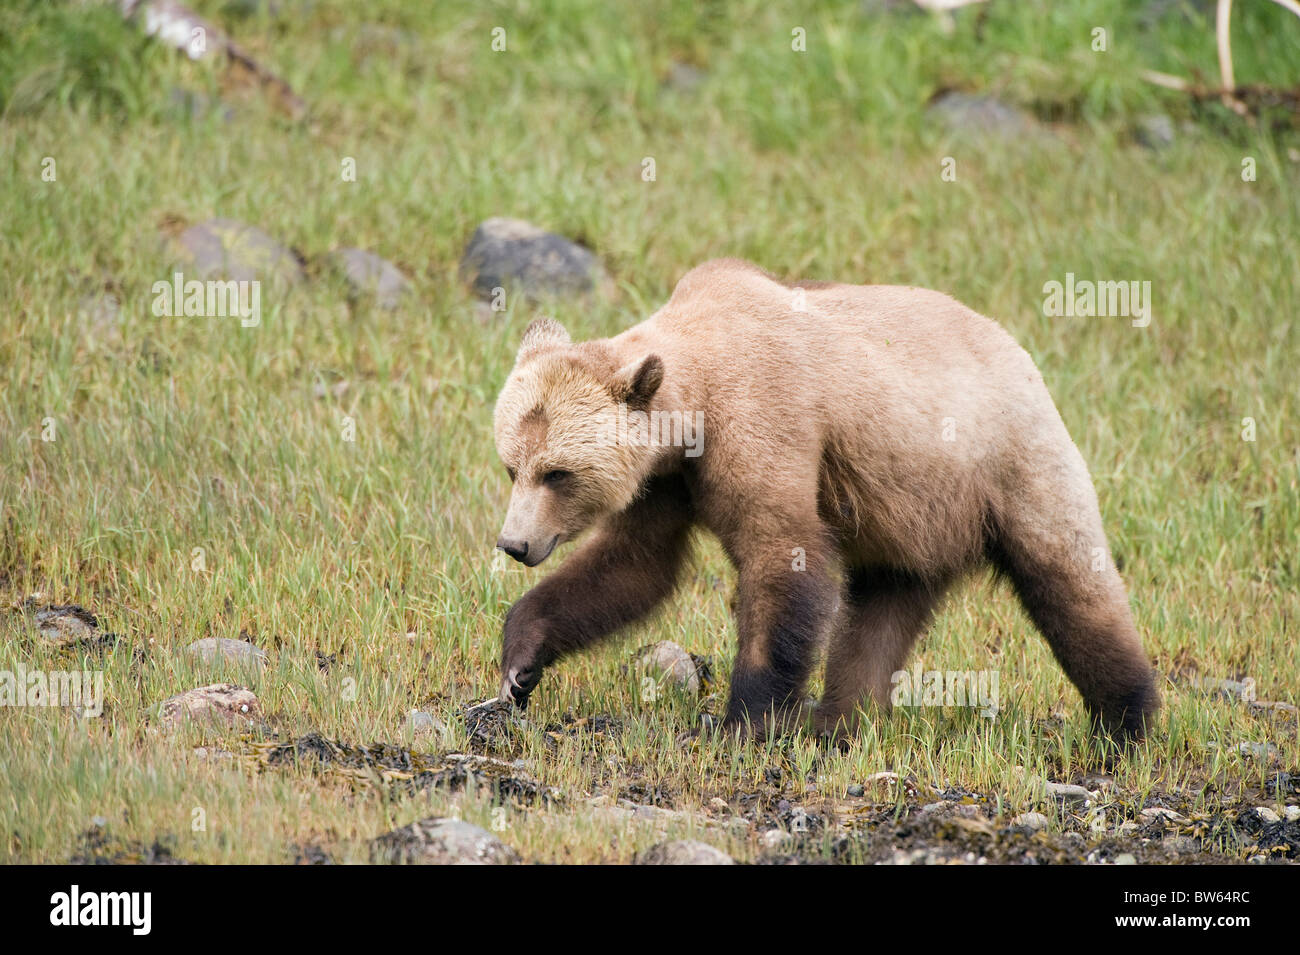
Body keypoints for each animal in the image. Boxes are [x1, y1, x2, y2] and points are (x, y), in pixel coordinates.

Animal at [488, 257, 1159, 743]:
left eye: (558, 474)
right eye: (512, 467)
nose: (515, 544)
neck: (691, 409)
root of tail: (1021, 353)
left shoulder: (763, 423)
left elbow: (783, 555)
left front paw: (744, 720)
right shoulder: (666, 479)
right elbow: (632, 565)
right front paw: (520, 663)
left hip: (1010, 462)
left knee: (1070, 582)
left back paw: (1127, 720)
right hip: (909, 517)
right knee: (880, 615)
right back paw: (840, 720)